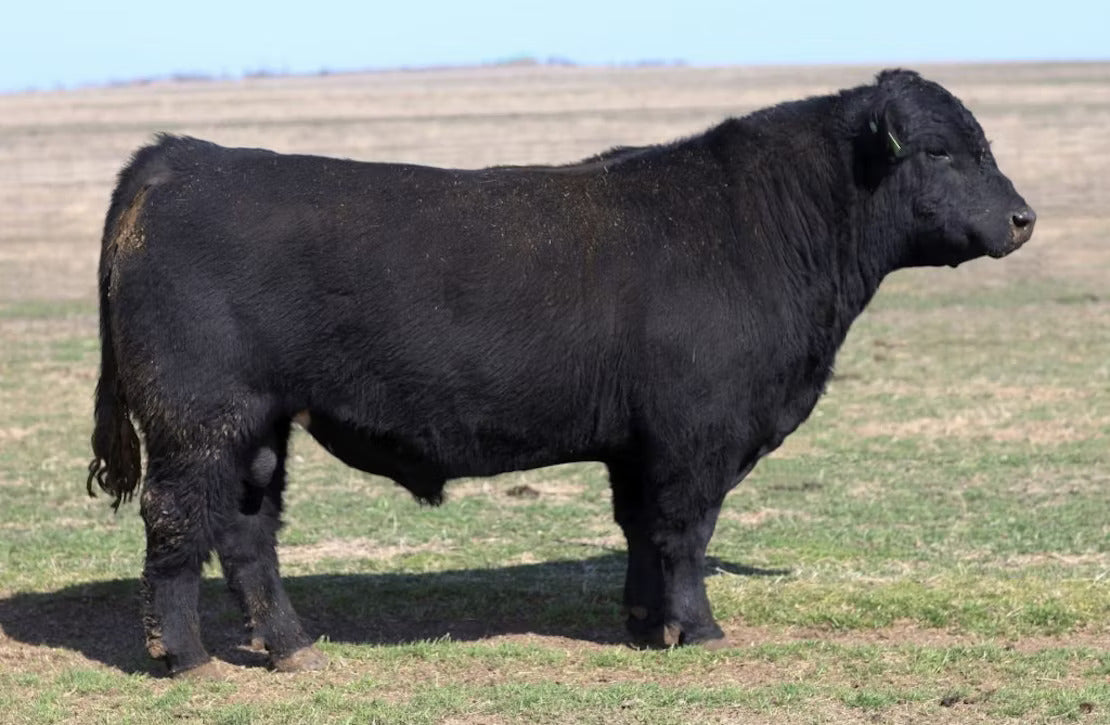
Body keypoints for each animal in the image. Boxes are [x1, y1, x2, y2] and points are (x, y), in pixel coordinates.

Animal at [87, 69, 1035, 677]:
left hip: (258, 427)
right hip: (198, 419)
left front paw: (645, 623)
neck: (762, 225)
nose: (1024, 218)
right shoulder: (696, 438)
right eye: (941, 152)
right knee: (178, 522)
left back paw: (291, 648)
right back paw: (187, 659)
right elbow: (684, 534)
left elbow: (643, 533)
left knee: (248, 531)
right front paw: (699, 630)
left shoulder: (640, 446)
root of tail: (178, 156)